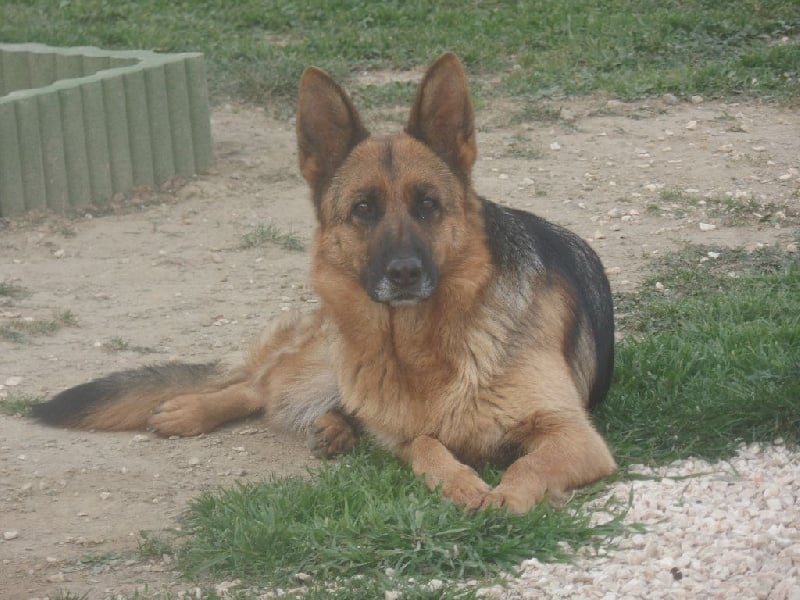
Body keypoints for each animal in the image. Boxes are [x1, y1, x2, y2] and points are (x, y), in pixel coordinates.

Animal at [31, 51, 616, 512]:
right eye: (363, 209)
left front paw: (504, 498)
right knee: (257, 386)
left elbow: (525, 466)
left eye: (429, 205)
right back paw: (192, 410)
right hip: (326, 363)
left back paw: (333, 429)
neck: (424, 347)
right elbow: (428, 448)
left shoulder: (575, 436)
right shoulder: (407, 437)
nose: (404, 273)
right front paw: (462, 483)